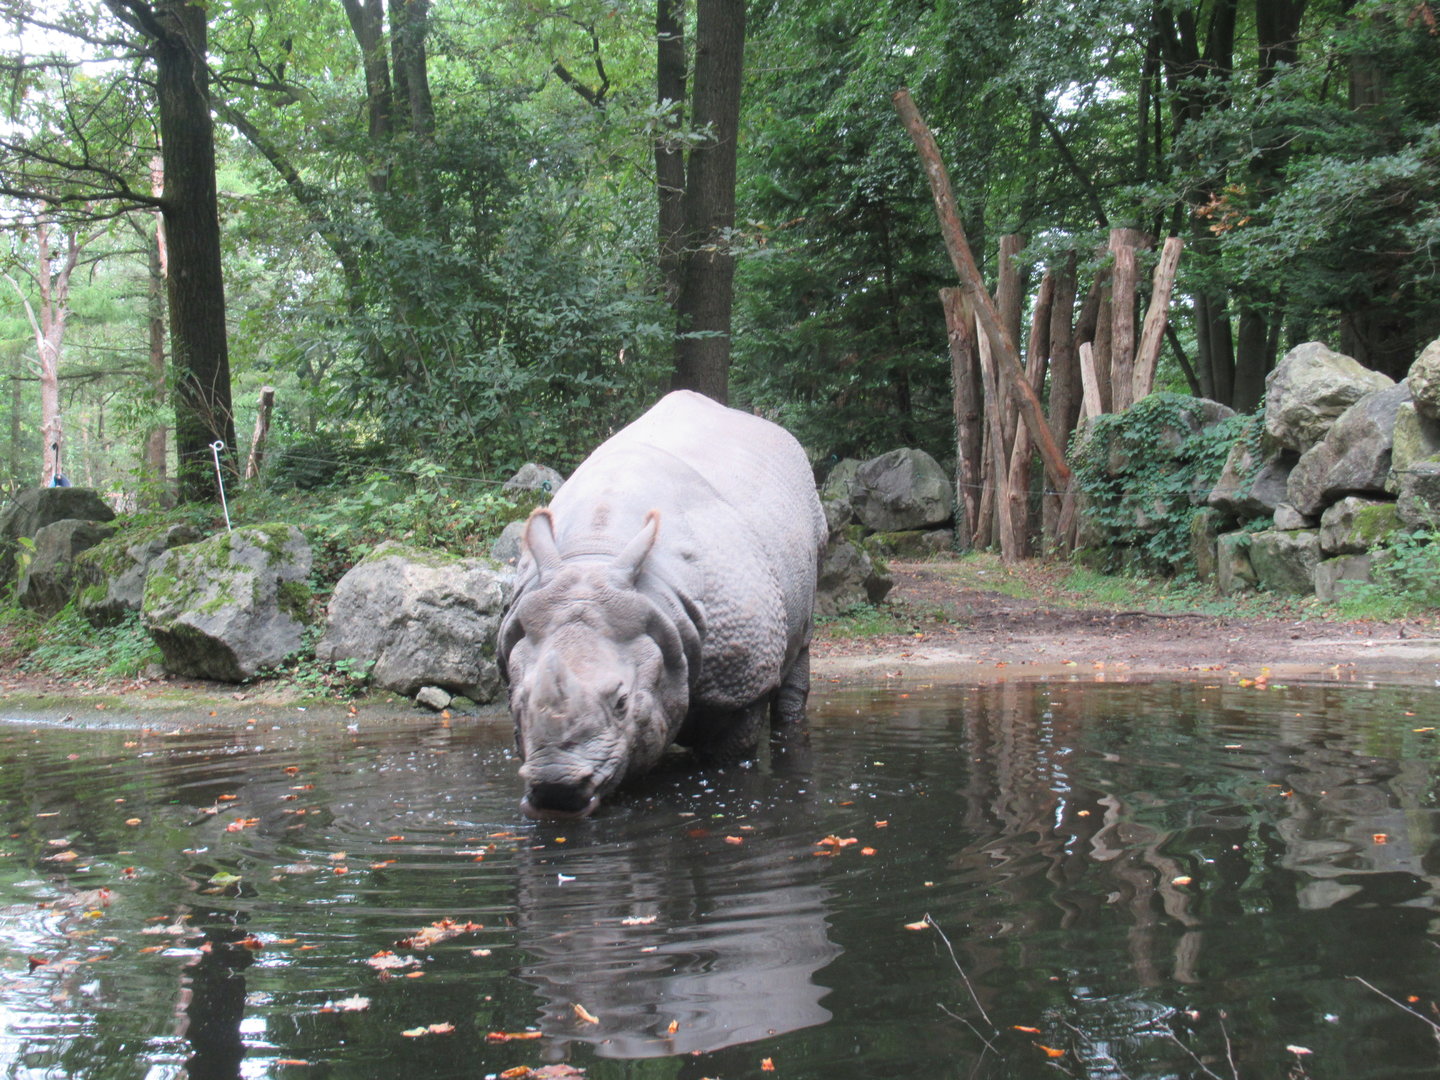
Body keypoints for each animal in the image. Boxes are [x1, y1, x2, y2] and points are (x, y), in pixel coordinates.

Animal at [497, 390, 826, 819]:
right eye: (519, 700)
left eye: (622, 702)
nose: (556, 790)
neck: (596, 556)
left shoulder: (742, 683)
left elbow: (729, 754)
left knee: (802, 637)